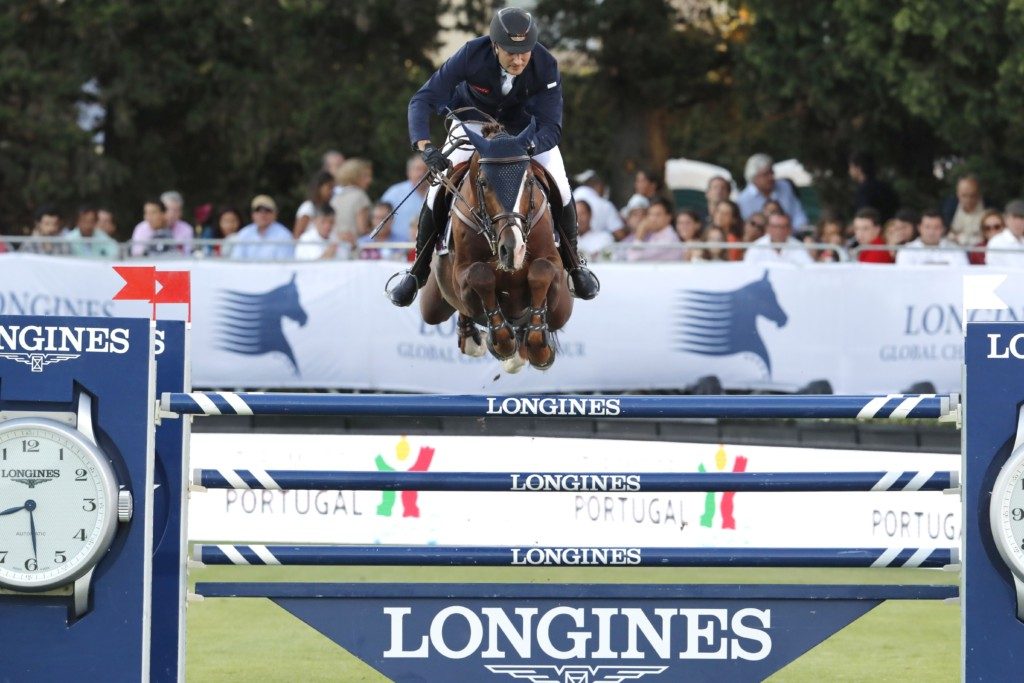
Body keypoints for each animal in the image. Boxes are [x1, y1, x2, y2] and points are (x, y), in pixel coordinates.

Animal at [417, 119, 577, 370]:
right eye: (483, 182)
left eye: (529, 181)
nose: (513, 250)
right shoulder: (461, 274)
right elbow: (479, 274)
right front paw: (502, 342)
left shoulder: (553, 267)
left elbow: (542, 270)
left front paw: (539, 346)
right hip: (433, 304)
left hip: (562, 309)